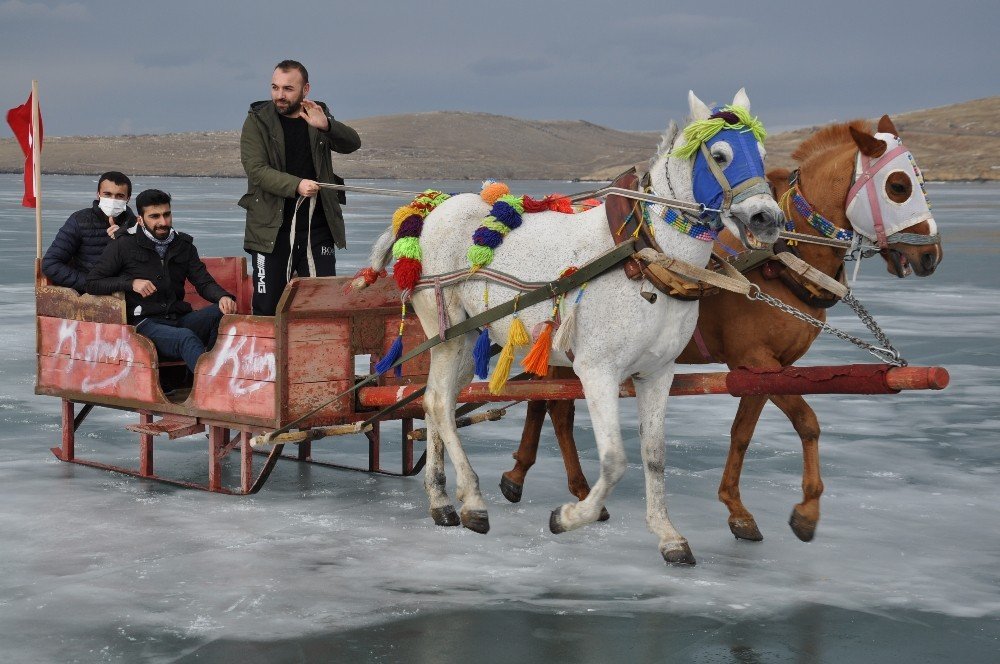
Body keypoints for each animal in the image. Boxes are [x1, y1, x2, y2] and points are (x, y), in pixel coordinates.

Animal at [372, 89, 784, 564]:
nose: (768, 219)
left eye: (762, 154)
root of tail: (429, 211)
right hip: (446, 333)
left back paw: (441, 500)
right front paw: (569, 517)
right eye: (720, 154)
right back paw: (472, 501)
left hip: (470, 336)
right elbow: (614, 460)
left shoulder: (657, 373)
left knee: (434, 401)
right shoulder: (597, 370)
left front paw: (668, 534)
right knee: (440, 404)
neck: (647, 257)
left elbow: (654, 455)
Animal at [500, 116, 944, 544]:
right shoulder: (755, 360)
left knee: (548, 404)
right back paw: (554, 484)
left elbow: (743, 433)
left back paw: (532, 480)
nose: (931, 256)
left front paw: (741, 510)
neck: (779, 258)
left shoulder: (768, 368)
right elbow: (806, 422)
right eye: (899, 186)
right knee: (553, 407)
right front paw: (801, 512)